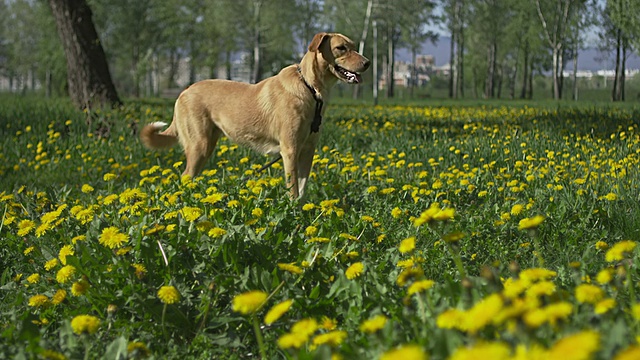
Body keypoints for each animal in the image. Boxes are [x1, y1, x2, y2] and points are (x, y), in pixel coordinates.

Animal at [141, 32, 370, 198]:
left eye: (354, 46)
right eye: (341, 48)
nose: (367, 63)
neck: (311, 89)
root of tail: (184, 92)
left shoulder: (307, 150)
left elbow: (303, 189)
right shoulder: (290, 150)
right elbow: (293, 190)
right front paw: (294, 213)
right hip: (200, 146)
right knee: (185, 177)